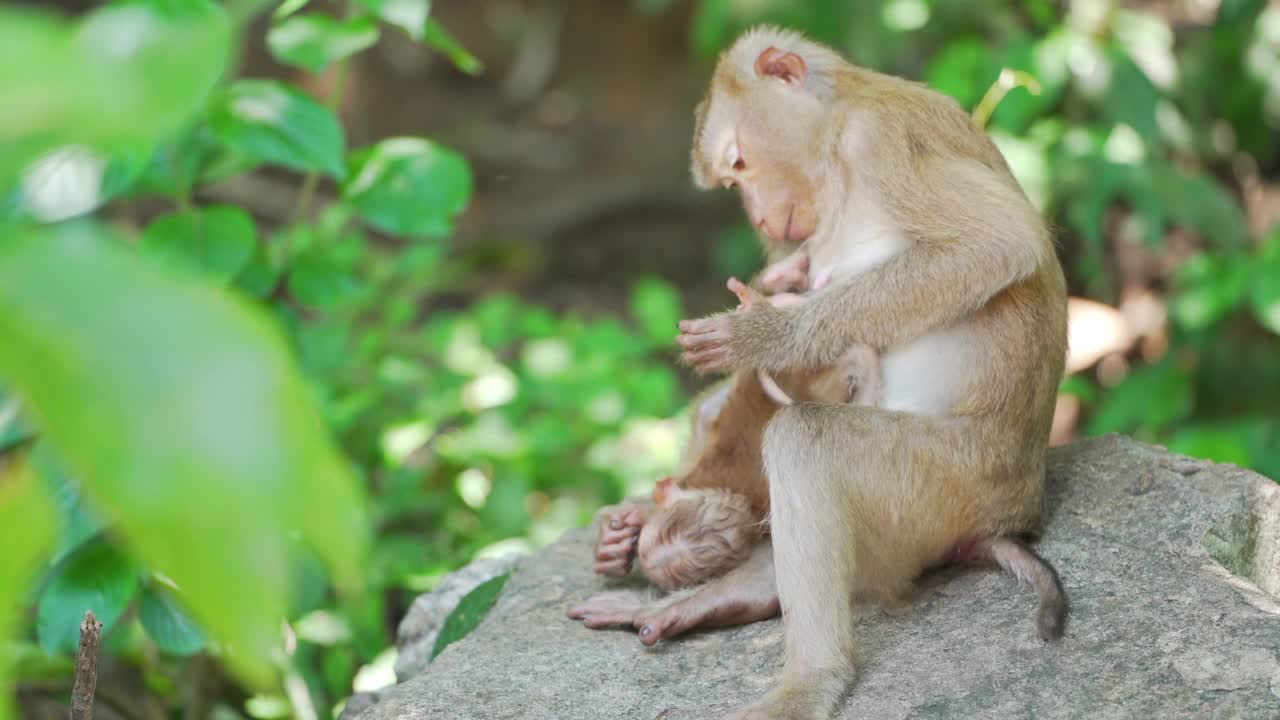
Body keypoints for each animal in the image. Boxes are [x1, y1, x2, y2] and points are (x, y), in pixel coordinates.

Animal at [576, 25, 1064, 712]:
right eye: (731, 183)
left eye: (739, 165)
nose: (757, 217)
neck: (837, 144)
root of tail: (1013, 515)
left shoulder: (880, 138)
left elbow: (998, 245)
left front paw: (767, 336)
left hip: (951, 482)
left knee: (805, 440)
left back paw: (809, 680)